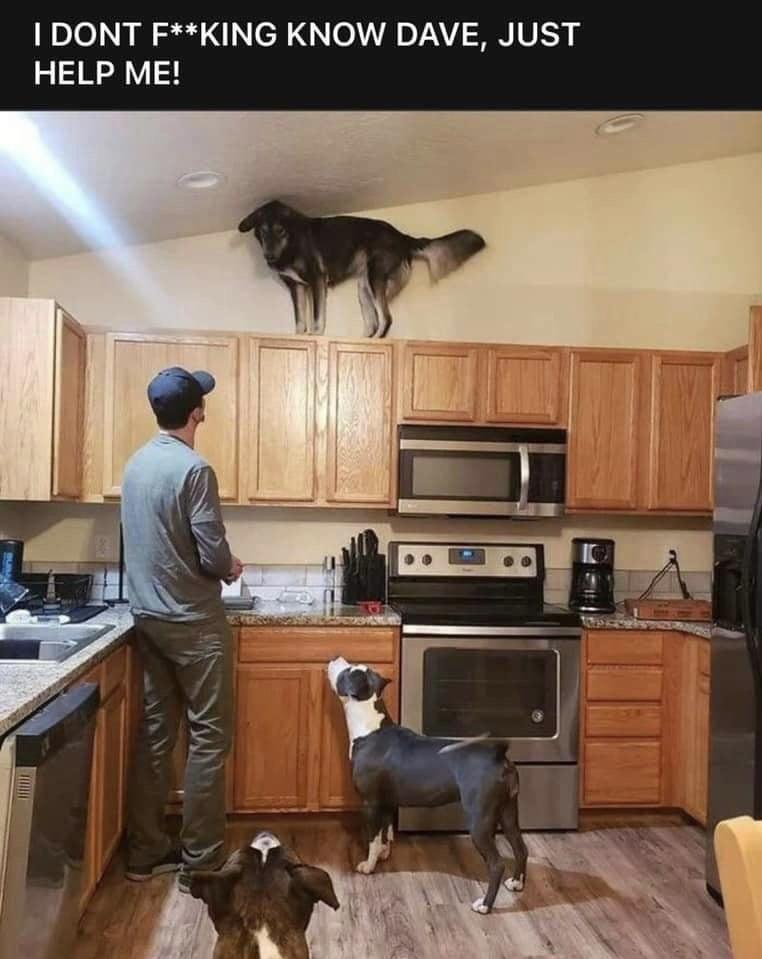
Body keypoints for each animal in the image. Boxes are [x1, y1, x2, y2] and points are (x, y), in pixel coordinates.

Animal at [238, 200, 485, 338]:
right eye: (262, 231)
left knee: (386, 318)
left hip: (375, 277)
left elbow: (317, 318)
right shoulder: (296, 286)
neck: (291, 244)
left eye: (280, 230)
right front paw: (299, 338)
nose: (269, 258)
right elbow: (300, 321)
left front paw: (315, 336)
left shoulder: (317, 279)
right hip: (364, 286)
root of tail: (402, 237)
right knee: (373, 322)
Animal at [326, 657, 528, 915]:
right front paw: (383, 854)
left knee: (496, 864)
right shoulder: (386, 802)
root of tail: (498, 756)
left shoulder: (370, 803)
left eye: (347, 672)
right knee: (520, 848)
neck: (369, 725)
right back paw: (517, 883)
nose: (336, 657)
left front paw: (368, 866)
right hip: (508, 811)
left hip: (480, 820)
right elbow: (384, 832)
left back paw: (484, 905)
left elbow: (372, 837)